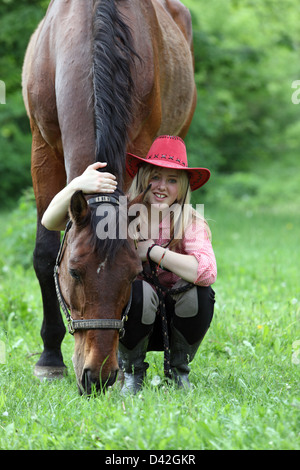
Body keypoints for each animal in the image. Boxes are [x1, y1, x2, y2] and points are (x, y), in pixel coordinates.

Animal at [22, 0, 197, 392]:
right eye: (74, 271)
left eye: (131, 276)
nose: (98, 376)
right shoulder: (42, 148)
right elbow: (43, 254)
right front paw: (49, 358)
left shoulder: (140, 149)